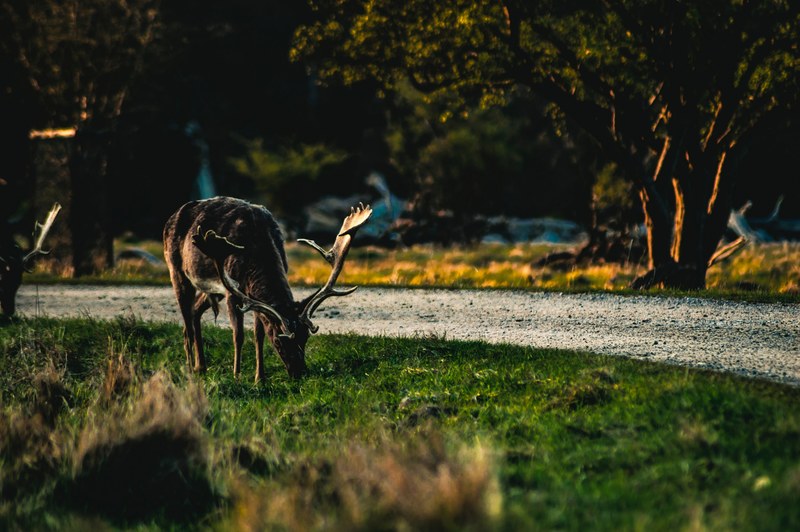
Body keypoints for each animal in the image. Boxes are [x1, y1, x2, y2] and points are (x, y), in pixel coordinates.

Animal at [162, 196, 372, 381]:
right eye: (279, 341)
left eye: (305, 337)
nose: (300, 373)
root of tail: (169, 219)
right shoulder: (232, 292)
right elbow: (238, 335)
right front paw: (237, 375)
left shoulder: (252, 297)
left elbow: (259, 334)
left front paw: (260, 378)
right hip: (177, 271)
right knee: (187, 325)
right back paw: (190, 369)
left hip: (211, 290)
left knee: (195, 312)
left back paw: (201, 367)